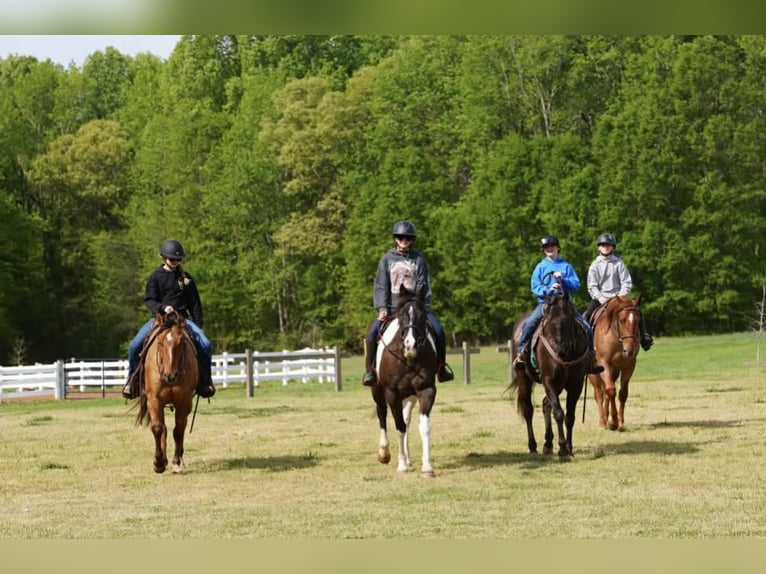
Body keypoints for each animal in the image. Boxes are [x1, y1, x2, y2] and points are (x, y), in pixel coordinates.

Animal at [135, 311, 198, 474]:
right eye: (160, 343)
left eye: (181, 343)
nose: (171, 376)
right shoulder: (154, 399)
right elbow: (158, 428)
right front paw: (158, 463)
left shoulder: (184, 401)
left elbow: (178, 430)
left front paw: (176, 463)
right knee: (163, 427)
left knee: (181, 428)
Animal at [371, 284, 438, 476]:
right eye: (401, 315)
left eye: (422, 315)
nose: (410, 345)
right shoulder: (391, 393)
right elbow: (398, 426)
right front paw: (401, 465)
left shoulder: (426, 390)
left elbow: (423, 426)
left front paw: (427, 467)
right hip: (377, 391)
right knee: (382, 414)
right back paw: (384, 453)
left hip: (410, 396)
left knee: (406, 419)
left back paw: (408, 458)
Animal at [509, 292, 590, 461]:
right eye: (547, 324)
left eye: (567, 320)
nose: (559, 350)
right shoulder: (549, 381)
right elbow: (558, 413)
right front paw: (563, 450)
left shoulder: (576, 385)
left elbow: (570, 417)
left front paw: (569, 448)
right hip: (524, 378)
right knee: (528, 409)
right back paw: (533, 446)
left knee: (546, 404)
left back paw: (548, 444)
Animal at [587, 294, 643, 431]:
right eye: (621, 320)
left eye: (638, 321)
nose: (630, 350)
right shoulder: (604, 364)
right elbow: (611, 390)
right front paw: (614, 422)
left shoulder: (628, 366)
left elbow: (622, 393)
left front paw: (620, 422)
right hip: (594, 373)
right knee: (599, 394)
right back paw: (603, 421)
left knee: (606, 393)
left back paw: (607, 418)